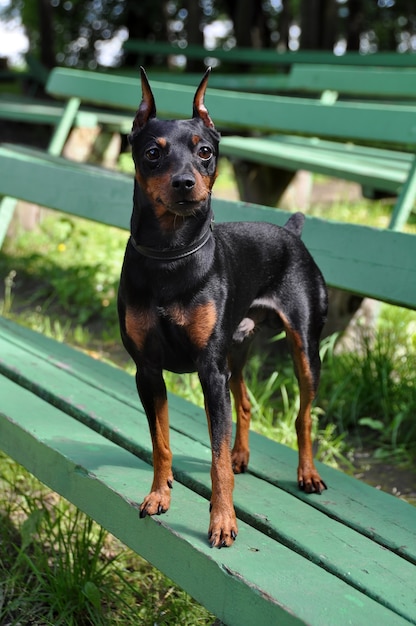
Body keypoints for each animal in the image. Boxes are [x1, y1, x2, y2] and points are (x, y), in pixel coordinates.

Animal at [117, 69, 328, 544]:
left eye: (205, 152)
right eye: (153, 153)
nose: (184, 183)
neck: (171, 256)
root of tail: (291, 232)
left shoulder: (210, 372)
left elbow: (214, 461)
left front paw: (223, 521)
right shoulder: (148, 371)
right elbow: (161, 443)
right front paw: (159, 495)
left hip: (304, 349)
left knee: (304, 415)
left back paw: (307, 474)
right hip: (236, 348)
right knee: (245, 403)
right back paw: (241, 455)